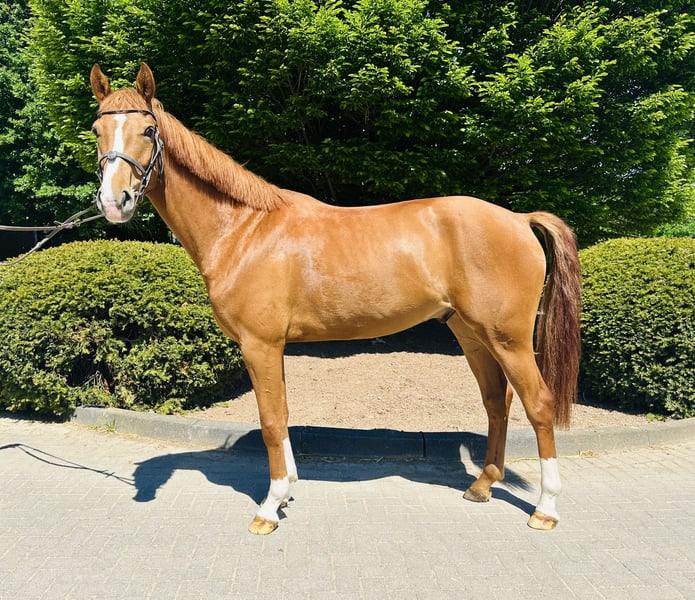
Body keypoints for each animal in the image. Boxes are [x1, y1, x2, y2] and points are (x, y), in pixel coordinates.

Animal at [90, 63, 581, 535]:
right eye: (97, 130)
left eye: (148, 130)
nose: (115, 201)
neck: (245, 230)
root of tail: (518, 219)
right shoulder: (275, 348)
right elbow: (283, 413)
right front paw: (286, 493)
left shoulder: (260, 345)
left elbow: (270, 421)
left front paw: (268, 508)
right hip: (471, 334)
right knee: (497, 402)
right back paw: (482, 485)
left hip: (509, 338)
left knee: (538, 404)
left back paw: (546, 509)